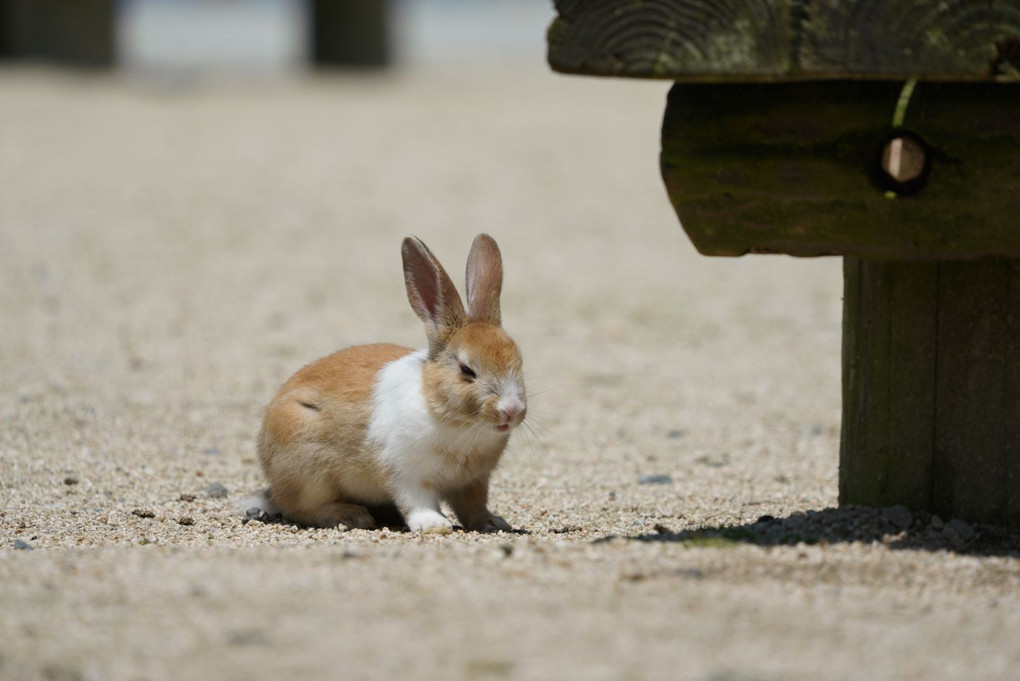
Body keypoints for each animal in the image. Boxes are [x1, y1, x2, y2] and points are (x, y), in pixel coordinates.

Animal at [248, 234, 526, 530]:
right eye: (467, 370)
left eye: (519, 362)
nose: (512, 410)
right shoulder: (405, 472)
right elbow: (417, 501)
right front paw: (434, 525)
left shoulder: (473, 482)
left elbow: (473, 508)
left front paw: (494, 523)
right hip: (309, 475)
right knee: (298, 508)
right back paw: (353, 515)